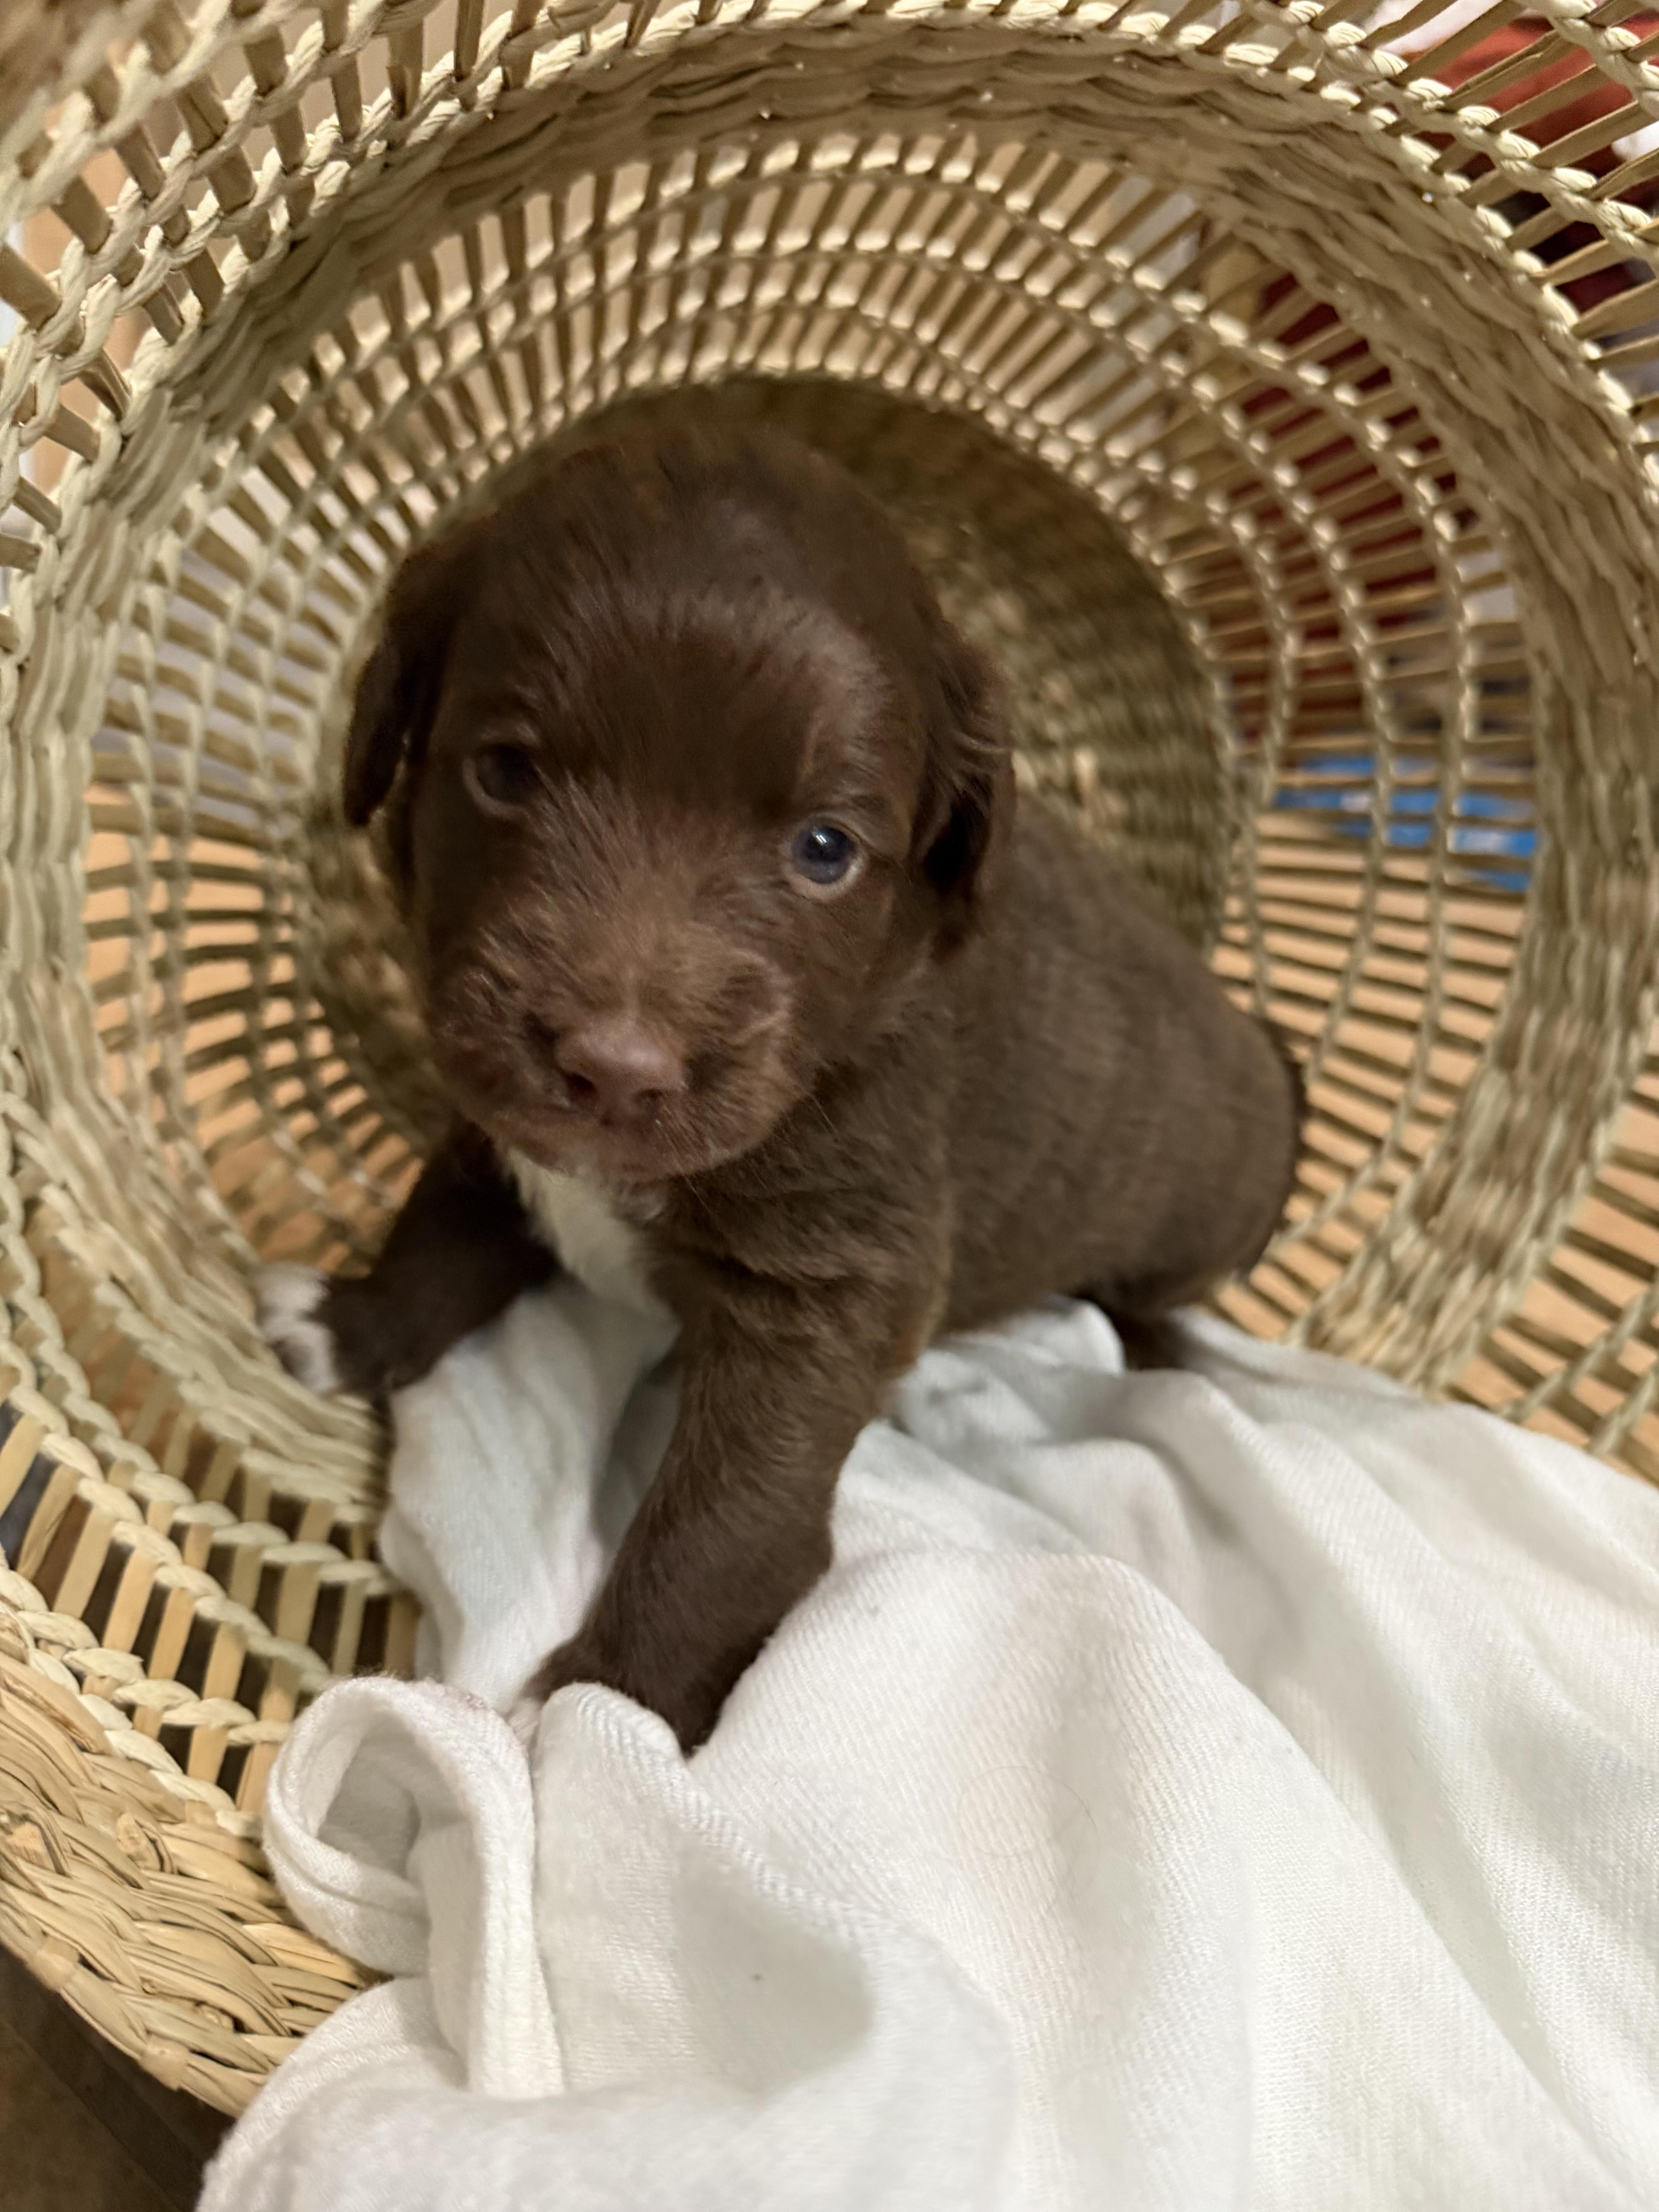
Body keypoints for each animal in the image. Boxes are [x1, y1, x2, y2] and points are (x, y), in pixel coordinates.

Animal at [258, 420, 1303, 1751]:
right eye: (502, 771)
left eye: (824, 849)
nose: (615, 1067)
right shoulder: (497, 1123)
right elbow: (442, 1225)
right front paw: (355, 1323)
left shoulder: (829, 1279)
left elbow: (724, 1516)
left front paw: (607, 1708)